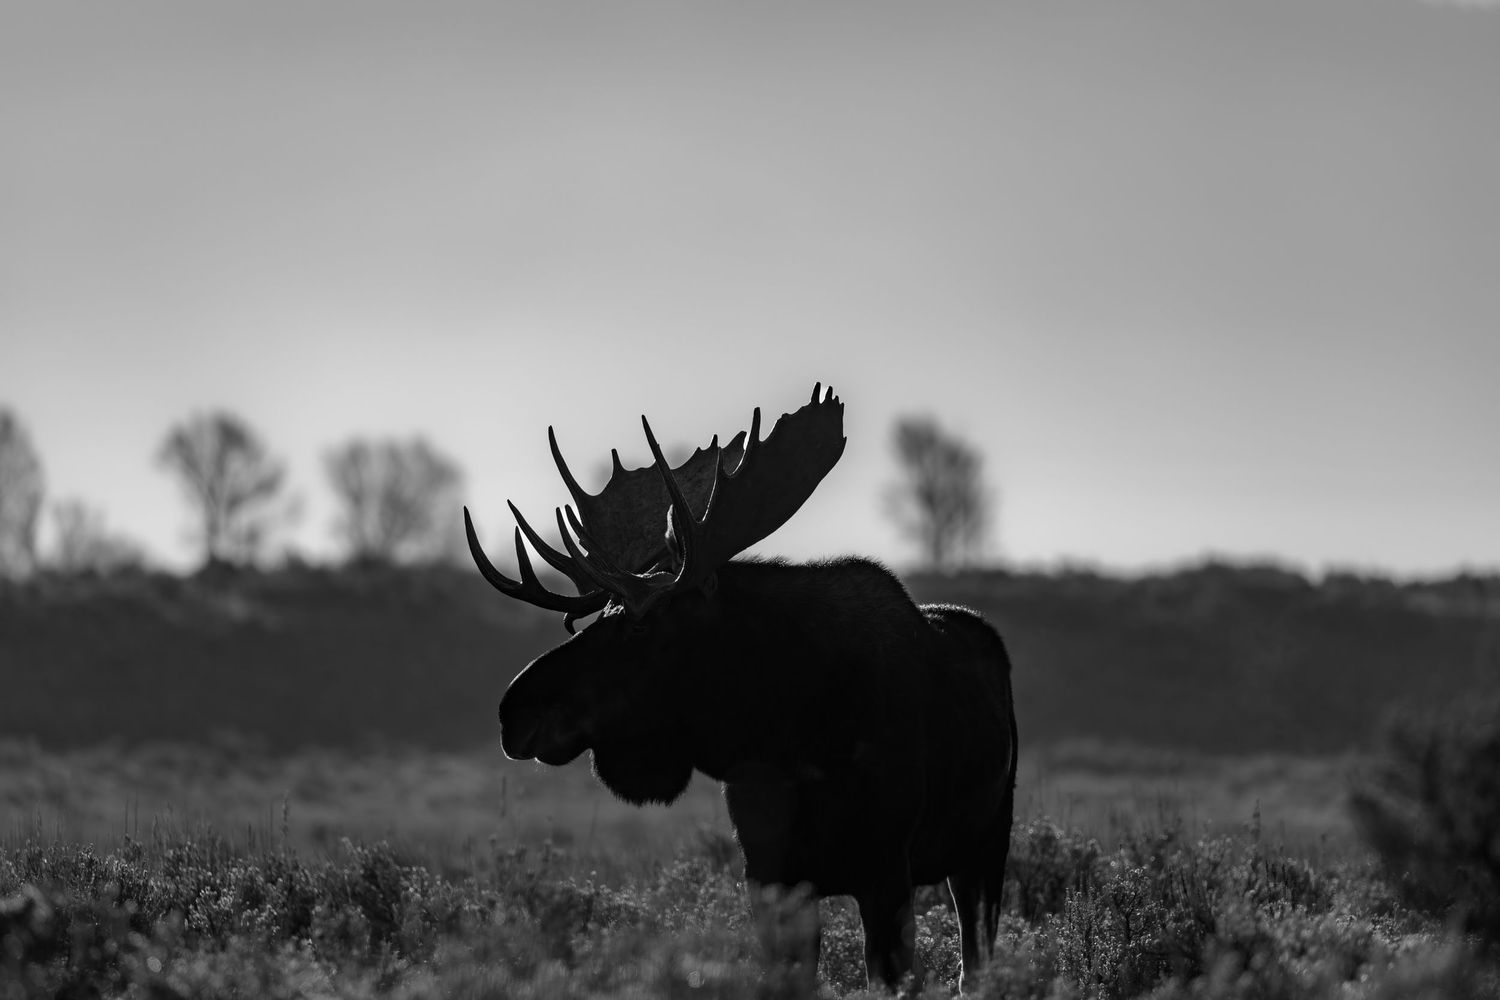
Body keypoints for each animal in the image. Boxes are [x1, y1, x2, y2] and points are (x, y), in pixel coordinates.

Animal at [466, 384, 1017, 992]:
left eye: (639, 626)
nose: (513, 711)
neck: (781, 735)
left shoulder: (886, 869)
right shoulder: (769, 875)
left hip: (987, 844)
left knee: (976, 962)